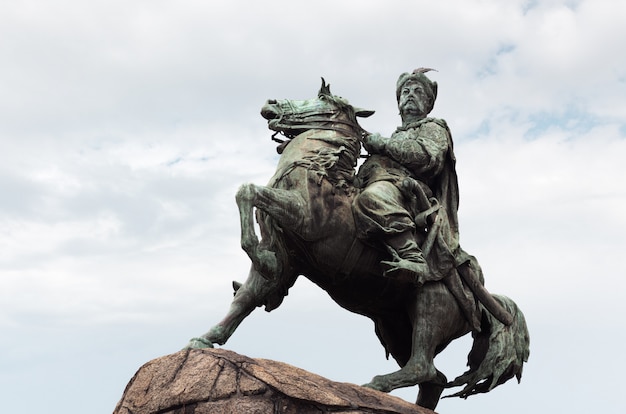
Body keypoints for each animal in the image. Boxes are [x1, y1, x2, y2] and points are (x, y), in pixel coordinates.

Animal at [185, 78, 528, 410]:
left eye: (323, 96)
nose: (271, 103)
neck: (316, 170)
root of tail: (482, 297)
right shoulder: (287, 259)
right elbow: (245, 298)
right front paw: (204, 339)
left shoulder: (303, 218)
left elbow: (248, 191)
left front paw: (258, 254)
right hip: (396, 329)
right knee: (434, 379)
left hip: (430, 305)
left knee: (423, 366)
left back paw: (377, 380)